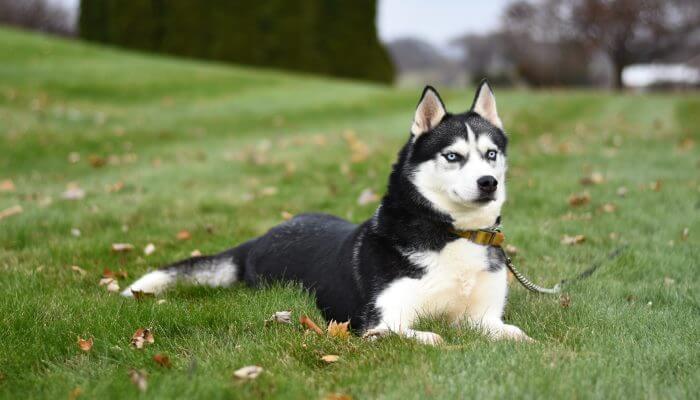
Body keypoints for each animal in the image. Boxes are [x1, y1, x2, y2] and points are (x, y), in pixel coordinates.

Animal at [124, 80, 532, 344]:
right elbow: (433, 337)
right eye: (452, 156)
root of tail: (262, 236)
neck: (453, 233)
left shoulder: (482, 316)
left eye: (491, 154)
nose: (488, 183)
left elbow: (515, 333)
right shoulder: (382, 320)